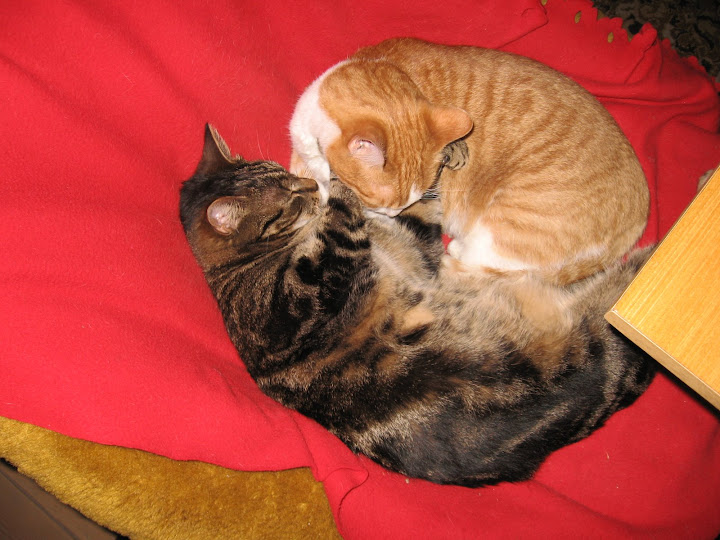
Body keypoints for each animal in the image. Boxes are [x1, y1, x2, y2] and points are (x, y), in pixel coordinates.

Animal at [180, 124, 654, 487]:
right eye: (290, 194)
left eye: (287, 176)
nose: (309, 184)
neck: (246, 265)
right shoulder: (306, 294)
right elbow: (345, 216)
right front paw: (338, 172)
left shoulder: (418, 246)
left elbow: (422, 202)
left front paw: (442, 150)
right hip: (602, 332)